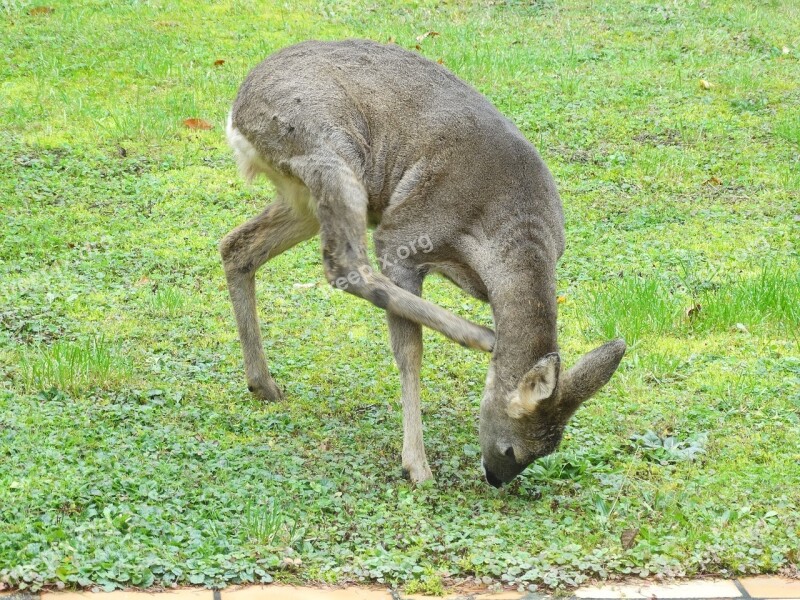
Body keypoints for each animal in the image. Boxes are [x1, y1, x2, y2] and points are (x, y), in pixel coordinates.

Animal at [220, 38, 624, 488]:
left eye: (546, 452)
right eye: (513, 450)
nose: (495, 479)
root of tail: (237, 113)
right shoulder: (404, 233)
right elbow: (409, 349)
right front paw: (415, 462)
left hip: (302, 196)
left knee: (237, 246)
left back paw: (263, 384)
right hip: (331, 154)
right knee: (344, 266)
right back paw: (480, 336)